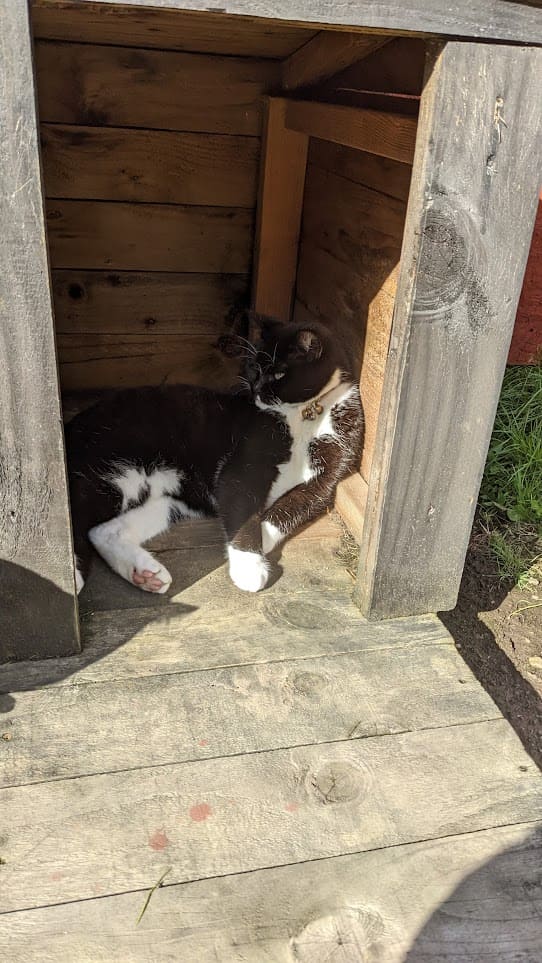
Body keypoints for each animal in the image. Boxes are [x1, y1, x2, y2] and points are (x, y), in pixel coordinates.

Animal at [65, 318, 366, 596]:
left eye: (279, 374)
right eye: (255, 367)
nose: (256, 388)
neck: (305, 413)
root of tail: (71, 425)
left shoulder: (330, 473)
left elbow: (296, 505)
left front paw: (262, 540)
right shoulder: (246, 463)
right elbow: (242, 506)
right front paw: (249, 565)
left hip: (169, 496)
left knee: (103, 530)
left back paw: (145, 574)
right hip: (115, 469)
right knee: (75, 509)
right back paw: (74, 578)